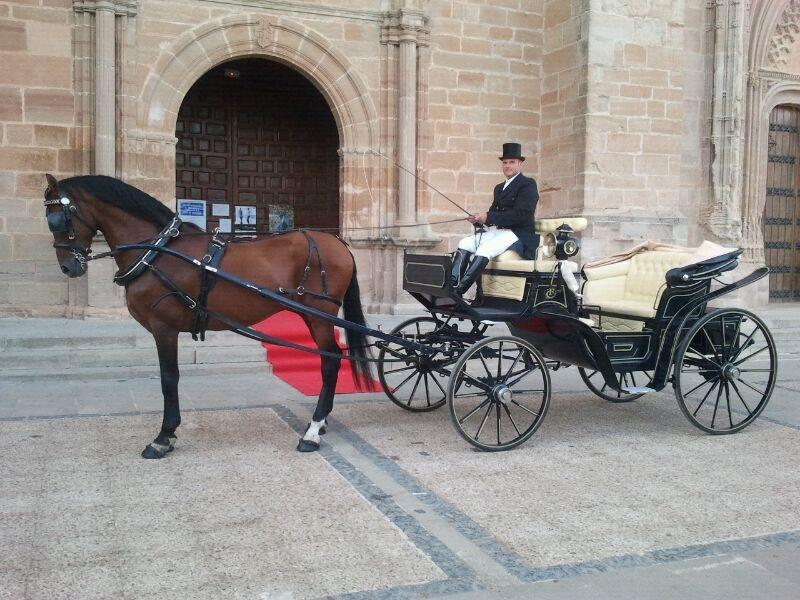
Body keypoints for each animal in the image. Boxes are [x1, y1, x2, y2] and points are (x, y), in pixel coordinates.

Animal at [46, 173, 376, 460]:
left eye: (57, 218)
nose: (68, 267)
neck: (157, 251)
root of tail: (337, 242)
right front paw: (168, 434)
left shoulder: (163, 328)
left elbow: (169, 378)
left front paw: (163, 437)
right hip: (313, 314)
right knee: (328, 358)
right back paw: (320, 422)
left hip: (320, 315)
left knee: (331, 360)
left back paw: (313, 431)